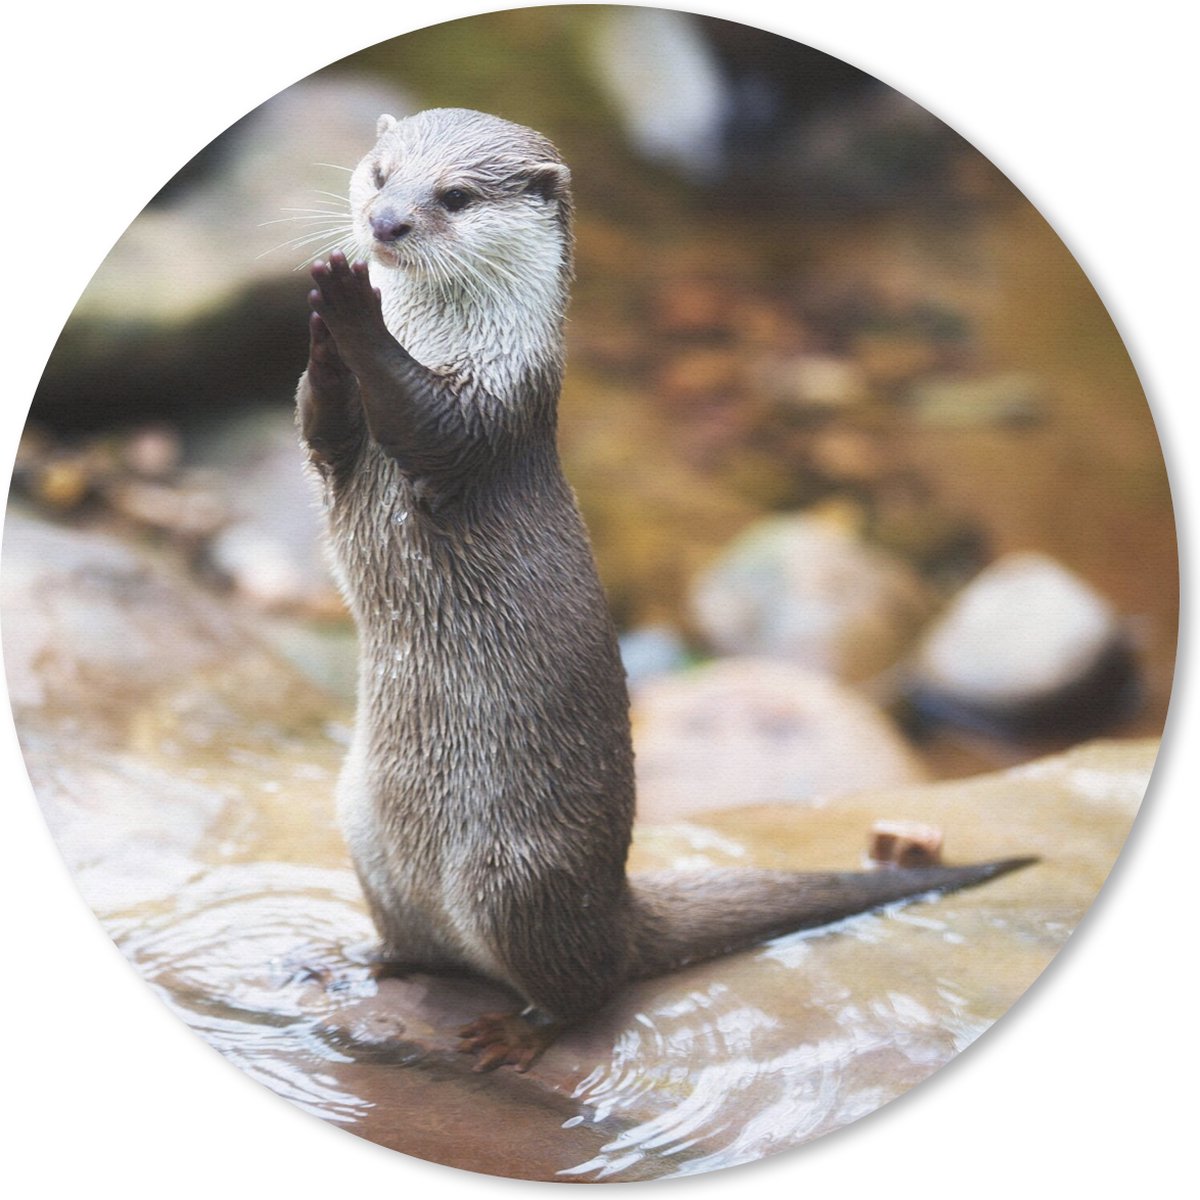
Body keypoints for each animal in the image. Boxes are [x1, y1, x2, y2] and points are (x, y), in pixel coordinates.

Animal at [296, 108, 1033, 1072]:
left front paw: (350, 312)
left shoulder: (492, 414)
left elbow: (428, 421)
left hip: (515, 877)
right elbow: (321, 426)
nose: (384, 225)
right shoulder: (342, 454)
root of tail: (617, 902)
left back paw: (513, 1035)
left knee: (589, 987)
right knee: (426, 944)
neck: (459, 341)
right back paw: (359, 961)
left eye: (453, 196)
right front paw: (321, 332)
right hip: (363, 831)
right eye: (381, 173)